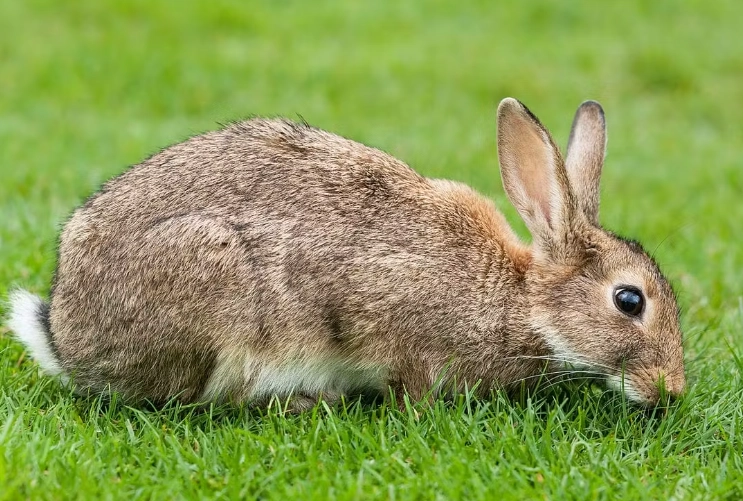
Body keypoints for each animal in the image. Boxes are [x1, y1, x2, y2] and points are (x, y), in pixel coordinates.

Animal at [7, 98, 685, 411]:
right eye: (629, 300)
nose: (672, 390)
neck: (522, 300)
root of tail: (65, 337)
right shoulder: (385, 312)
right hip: (215, 296)